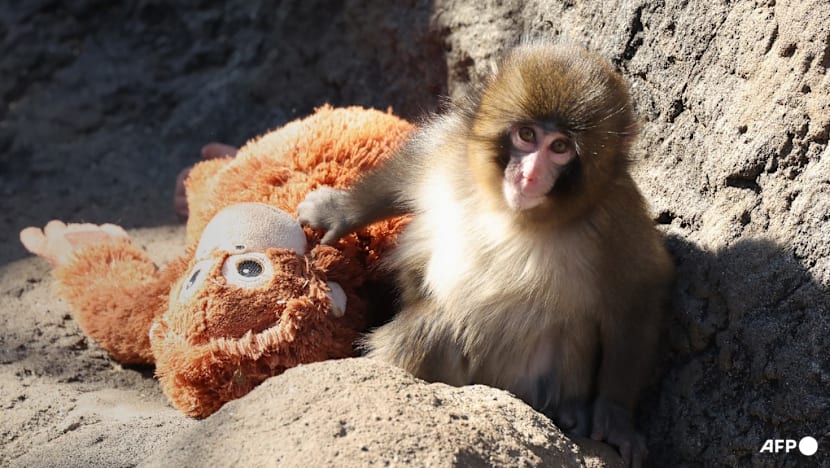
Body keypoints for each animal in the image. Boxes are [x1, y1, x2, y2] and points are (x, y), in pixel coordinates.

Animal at [297, 41, 673, 467]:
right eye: (526, 135)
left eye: (560, 147)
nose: (529, 175)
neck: (512, 213)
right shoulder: (452, 151)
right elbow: (408, 169)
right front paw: (339, 211)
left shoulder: (616, 218)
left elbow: (639, 291)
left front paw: (616, 416)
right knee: (432, 329)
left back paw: (570, 412)